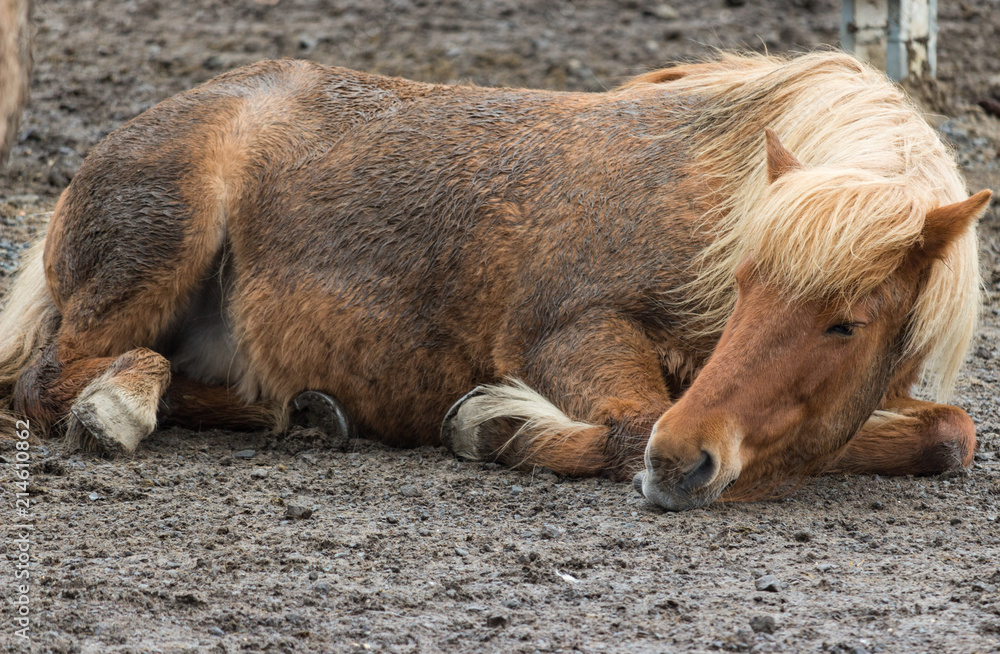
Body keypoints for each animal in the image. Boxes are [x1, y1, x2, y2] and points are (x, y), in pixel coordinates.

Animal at [0, 51, 990, 511]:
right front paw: (498, 424)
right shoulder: (572, 330)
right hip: (154, 254)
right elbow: (628, 424)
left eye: (847, 323)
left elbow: (952, 433)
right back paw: (119, 406)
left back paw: (305, 415)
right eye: (744, 284)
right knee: (50, 381)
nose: (687, 463)